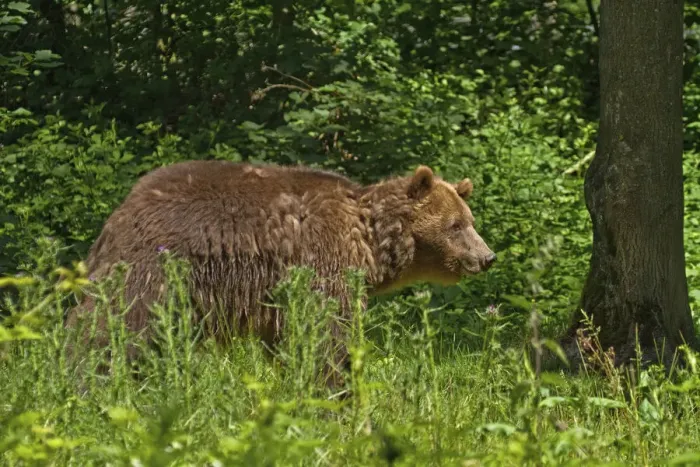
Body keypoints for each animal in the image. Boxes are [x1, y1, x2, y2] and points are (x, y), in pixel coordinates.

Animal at [65, 160, 496, 389]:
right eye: (456, 225)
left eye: (470, 221)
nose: (487, 257)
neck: (369, 241)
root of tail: (123, 208)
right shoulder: (322, 260)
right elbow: (327, 332)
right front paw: (336, 385)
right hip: (157, 265)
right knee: (113, 320)